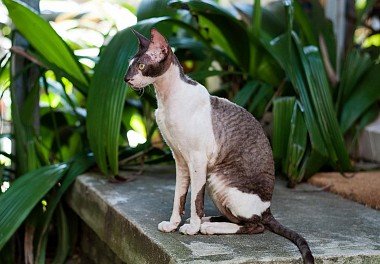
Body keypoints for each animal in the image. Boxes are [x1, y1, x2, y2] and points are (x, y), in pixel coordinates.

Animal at [124, 28, 314, 264]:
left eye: (141, 66)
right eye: (129, 64)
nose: (126, 79)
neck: (166, 100)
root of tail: (268, 209)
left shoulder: (197, 159)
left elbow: (195, 198)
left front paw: (192, 229)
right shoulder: (180, 159)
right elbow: (179, 196)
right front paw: (174, 224)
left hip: (217, 178)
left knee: (254, 226)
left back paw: (206, 227)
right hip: (214, 180)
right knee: (239, 219)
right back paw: (207, 221)